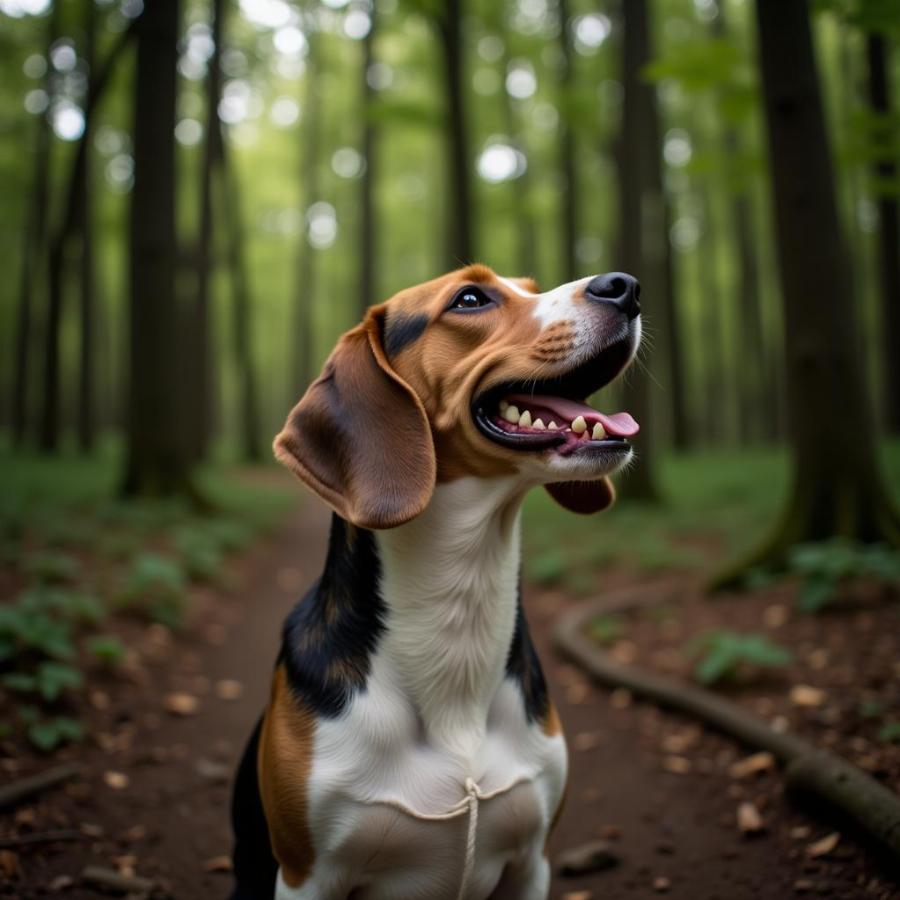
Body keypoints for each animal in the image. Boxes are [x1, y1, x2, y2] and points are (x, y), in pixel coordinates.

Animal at [232, 264, 640, 896]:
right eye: (470, 298)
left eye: (532, 287)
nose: (625, 285)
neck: (460, 604)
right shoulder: (306, 876)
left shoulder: (533, 862)